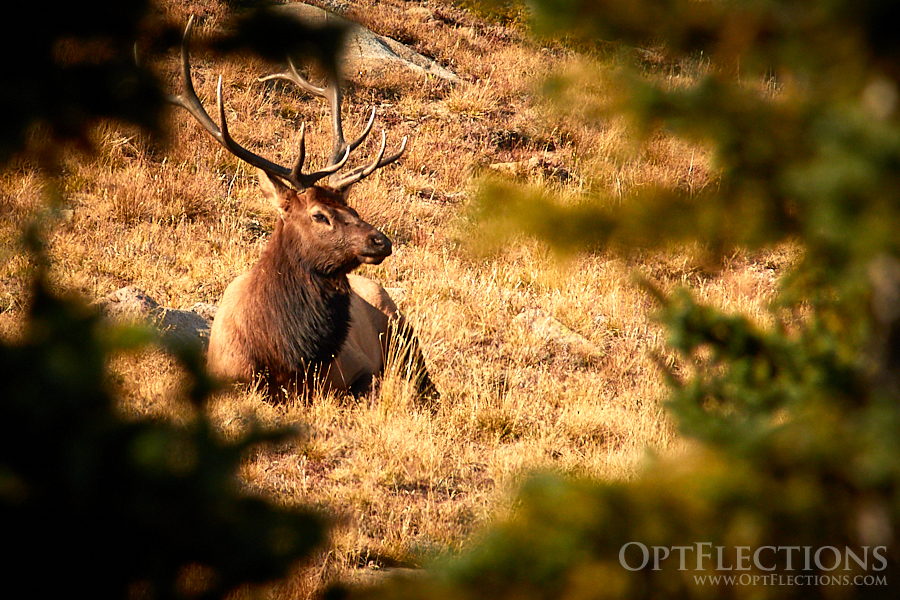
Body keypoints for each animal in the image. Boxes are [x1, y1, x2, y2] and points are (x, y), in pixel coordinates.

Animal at [167, 17, 437, 401]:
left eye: (351, 207)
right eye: (319, 215)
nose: (380, 241)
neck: (286, 357)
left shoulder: (356, 371)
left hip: (404, 332)